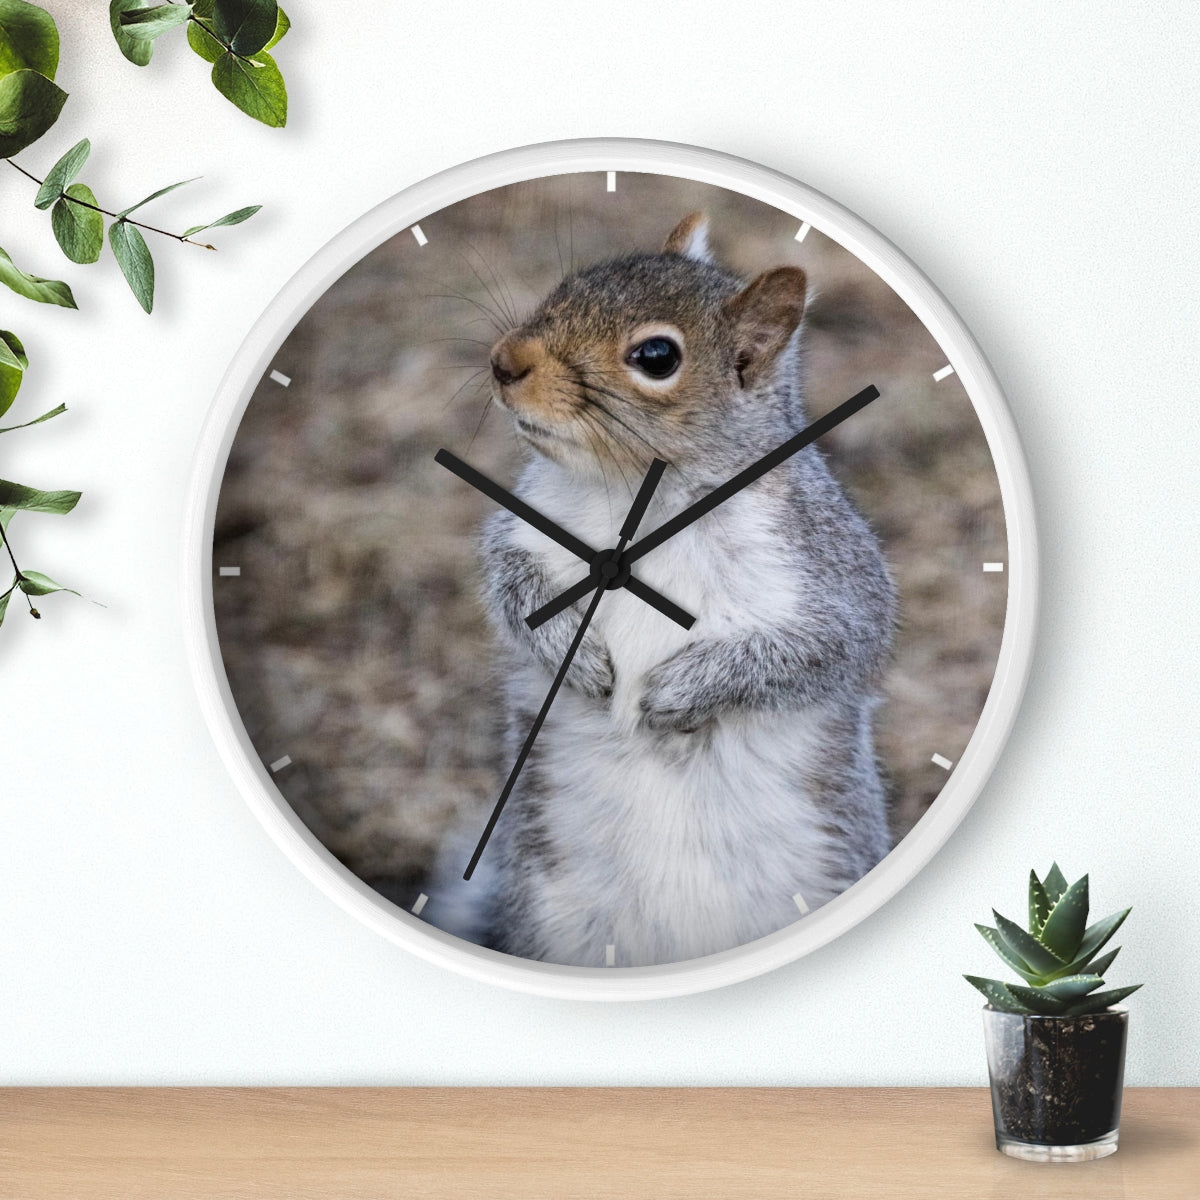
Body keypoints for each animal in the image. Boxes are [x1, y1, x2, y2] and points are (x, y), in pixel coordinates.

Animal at [435, 213, 897, 968]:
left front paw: (678, 692)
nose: (505, 363)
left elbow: (823, 649)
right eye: (567, 285)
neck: (639, 493)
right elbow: (509, 584)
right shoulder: (524, 528)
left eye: (656, 357)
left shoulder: (829, 572)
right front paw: (575, 653)